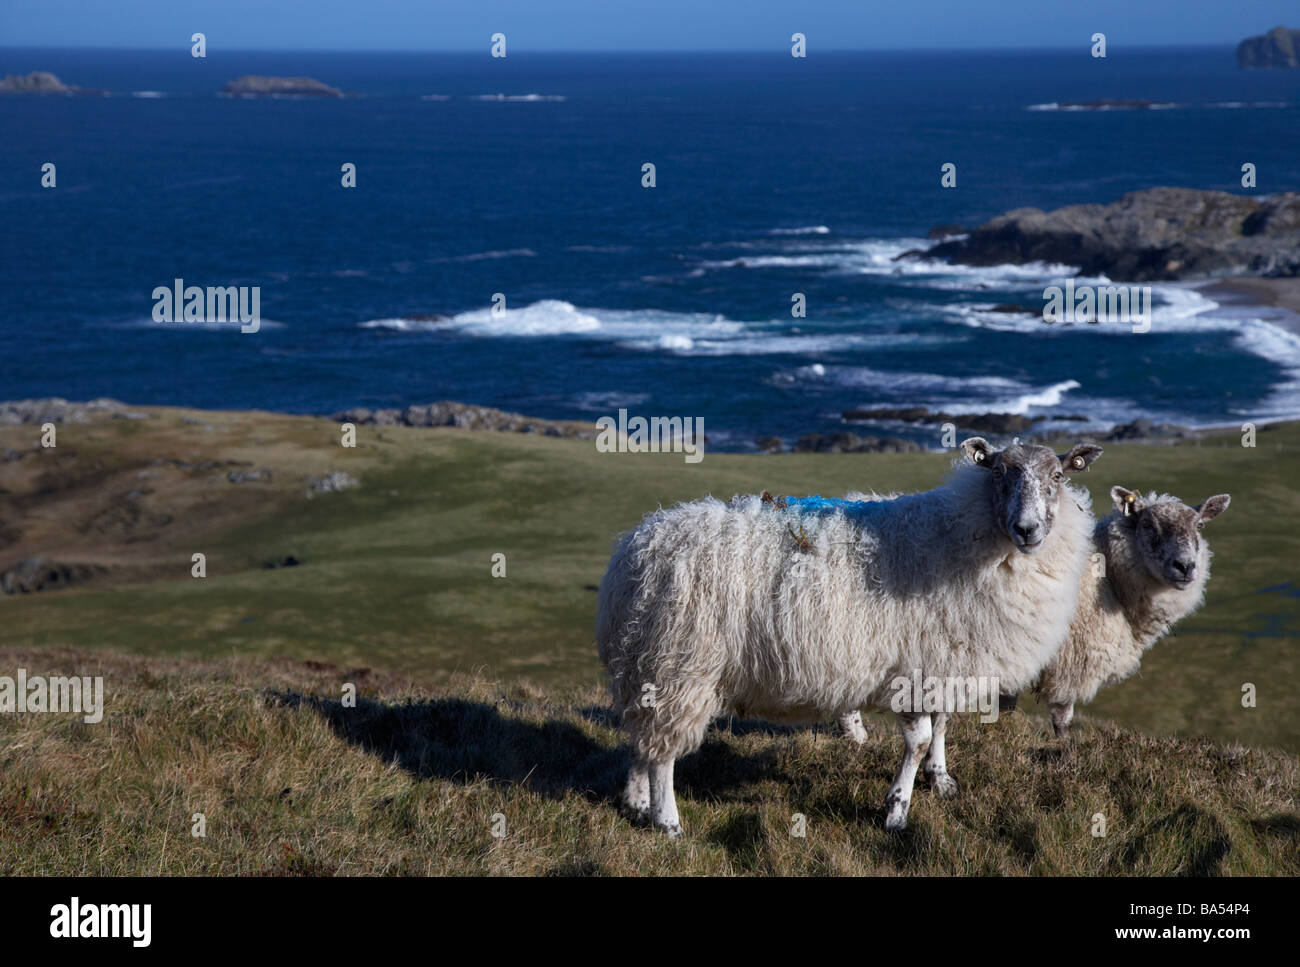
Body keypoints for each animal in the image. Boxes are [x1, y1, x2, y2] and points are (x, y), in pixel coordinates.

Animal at [595, 434, 1102, 837]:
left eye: (1058, 475)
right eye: (998, 472)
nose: (1027, 529)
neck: (963, 536)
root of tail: (637, 547)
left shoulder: (945, 661)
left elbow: (942, 725)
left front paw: (941, 780)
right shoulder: (911, 671)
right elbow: (919, 740)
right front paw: (897, 811)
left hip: (646, 668)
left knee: (642, 740)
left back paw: (636, 803)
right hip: (680, 668)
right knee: (663, 755)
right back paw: (667, 821)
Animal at [1034, 486, 1227, 743]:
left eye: (1200, 526)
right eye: (1147, 524)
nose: (1185, 566)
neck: (1109, 582)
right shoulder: (1068, 664)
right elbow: (1061, 720)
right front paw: (1063, 747)